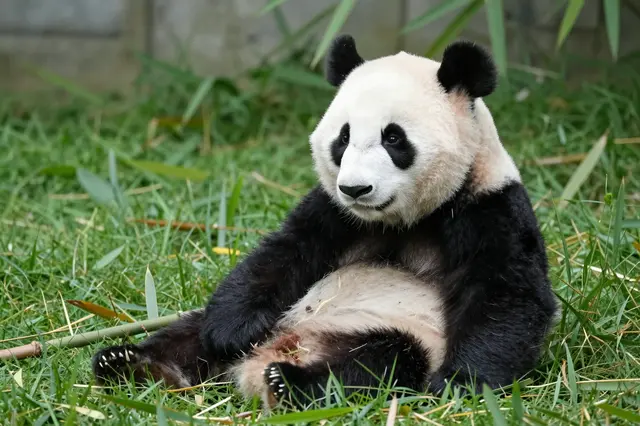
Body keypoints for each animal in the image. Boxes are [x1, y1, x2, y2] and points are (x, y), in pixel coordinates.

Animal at [91, 35, 560, 410]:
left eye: (394, 138)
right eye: (343, 137)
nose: (355, 188)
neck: (403, 221)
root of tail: (276, 353)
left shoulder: (489, 208)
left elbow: (506, 297)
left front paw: (461, 384)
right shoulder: (334, 213)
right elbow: (281, 254)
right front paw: (230, 328)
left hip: (402, 334)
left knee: (377, 365)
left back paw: (290, 383)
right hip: (272, 319)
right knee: (188, 335)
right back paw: (130, 364)